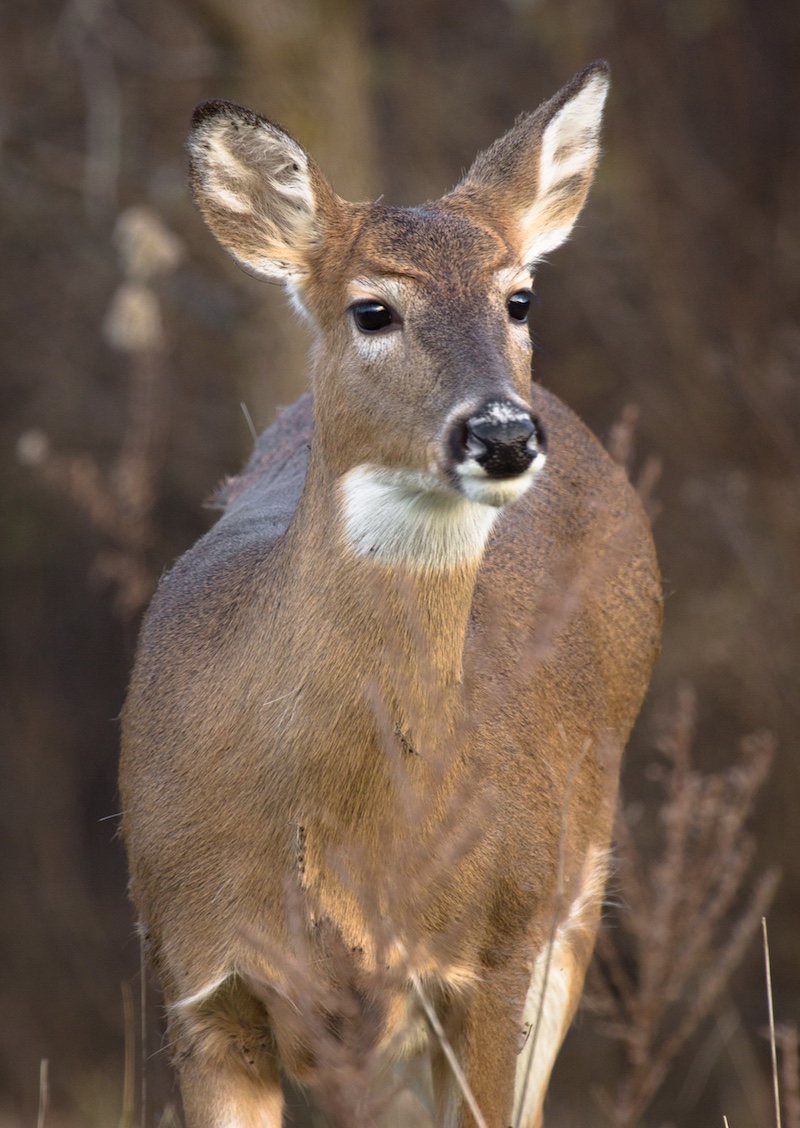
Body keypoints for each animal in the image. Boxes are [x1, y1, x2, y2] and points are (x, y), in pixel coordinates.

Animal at [120, 61, 661, 1128]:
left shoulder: (494, 951)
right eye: (373, 310)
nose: (503, 434)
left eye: (520, 298)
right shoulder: (196, 979)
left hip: (574, 889)